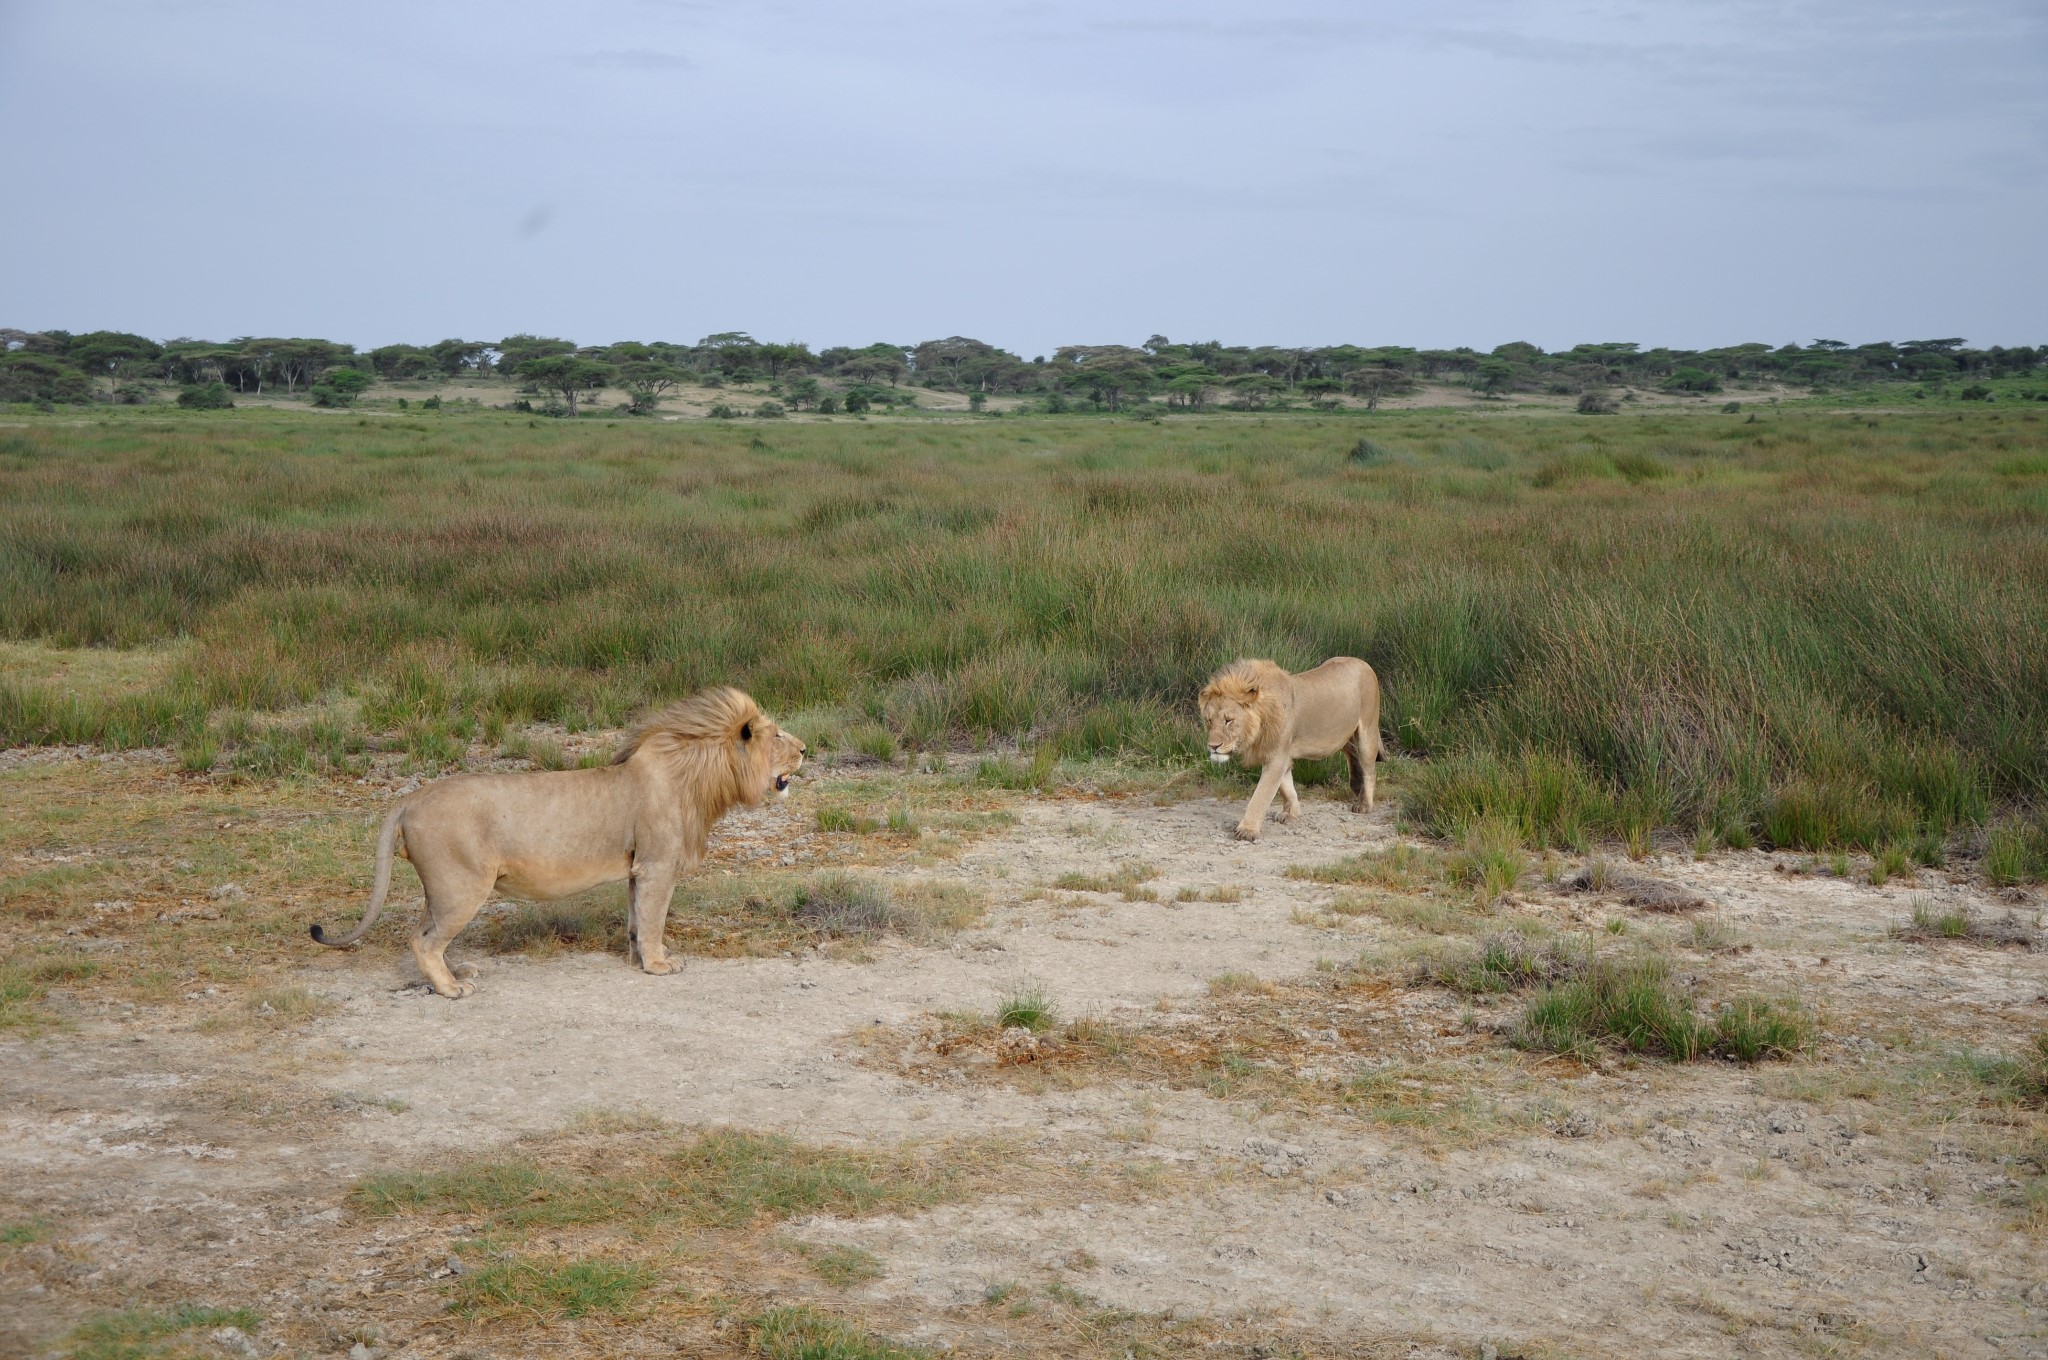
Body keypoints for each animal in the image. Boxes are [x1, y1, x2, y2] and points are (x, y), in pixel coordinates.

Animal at [307, 684, 802, 995]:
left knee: (421, 934)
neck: (698, 777)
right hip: (462, 887)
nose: (805, 749)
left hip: (443, 888)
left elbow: (636, 918)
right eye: (778, 734)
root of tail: (410, 798)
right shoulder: (658, 865)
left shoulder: (638, 869)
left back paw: (457, 970)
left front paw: (637, 956)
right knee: (423, 942)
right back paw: (452, 987)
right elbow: (655, 919)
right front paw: (659, 965)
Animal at [1196, 659, 1376, 839]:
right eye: (1209, 720)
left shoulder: (1277, 757)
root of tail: (1362, 662)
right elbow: (1286, 787)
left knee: (1369, 770)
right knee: (1351, 752)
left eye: (1228, 720)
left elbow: (1260, 796)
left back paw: (1364, 804)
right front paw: (1291, 814)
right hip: (1345, 736)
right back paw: (1356, 785)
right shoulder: (1276, 754)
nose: (1213, 746)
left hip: (1367, 731)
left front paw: (1247, 830)